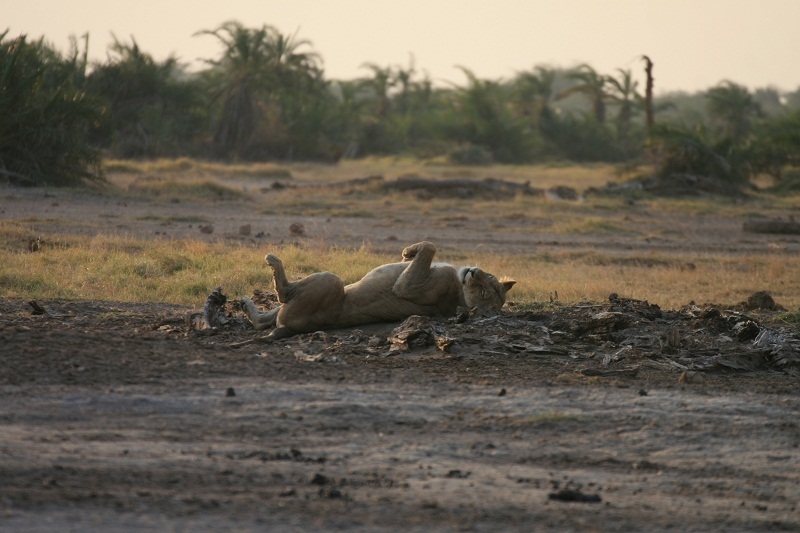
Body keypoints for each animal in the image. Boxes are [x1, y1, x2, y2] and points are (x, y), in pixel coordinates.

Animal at [241, 240, 516, 336]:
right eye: (488, 278)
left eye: (483, 291)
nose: (475, 271)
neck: (459, 284)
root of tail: (287, 329)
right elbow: (424, 250)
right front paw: (407, 252)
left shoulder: (407, 288)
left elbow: (430, 246)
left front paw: (411, 250)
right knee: (263, 321)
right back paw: (246, 304)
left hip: (332, 281)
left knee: (283, 294)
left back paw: (272, 261)